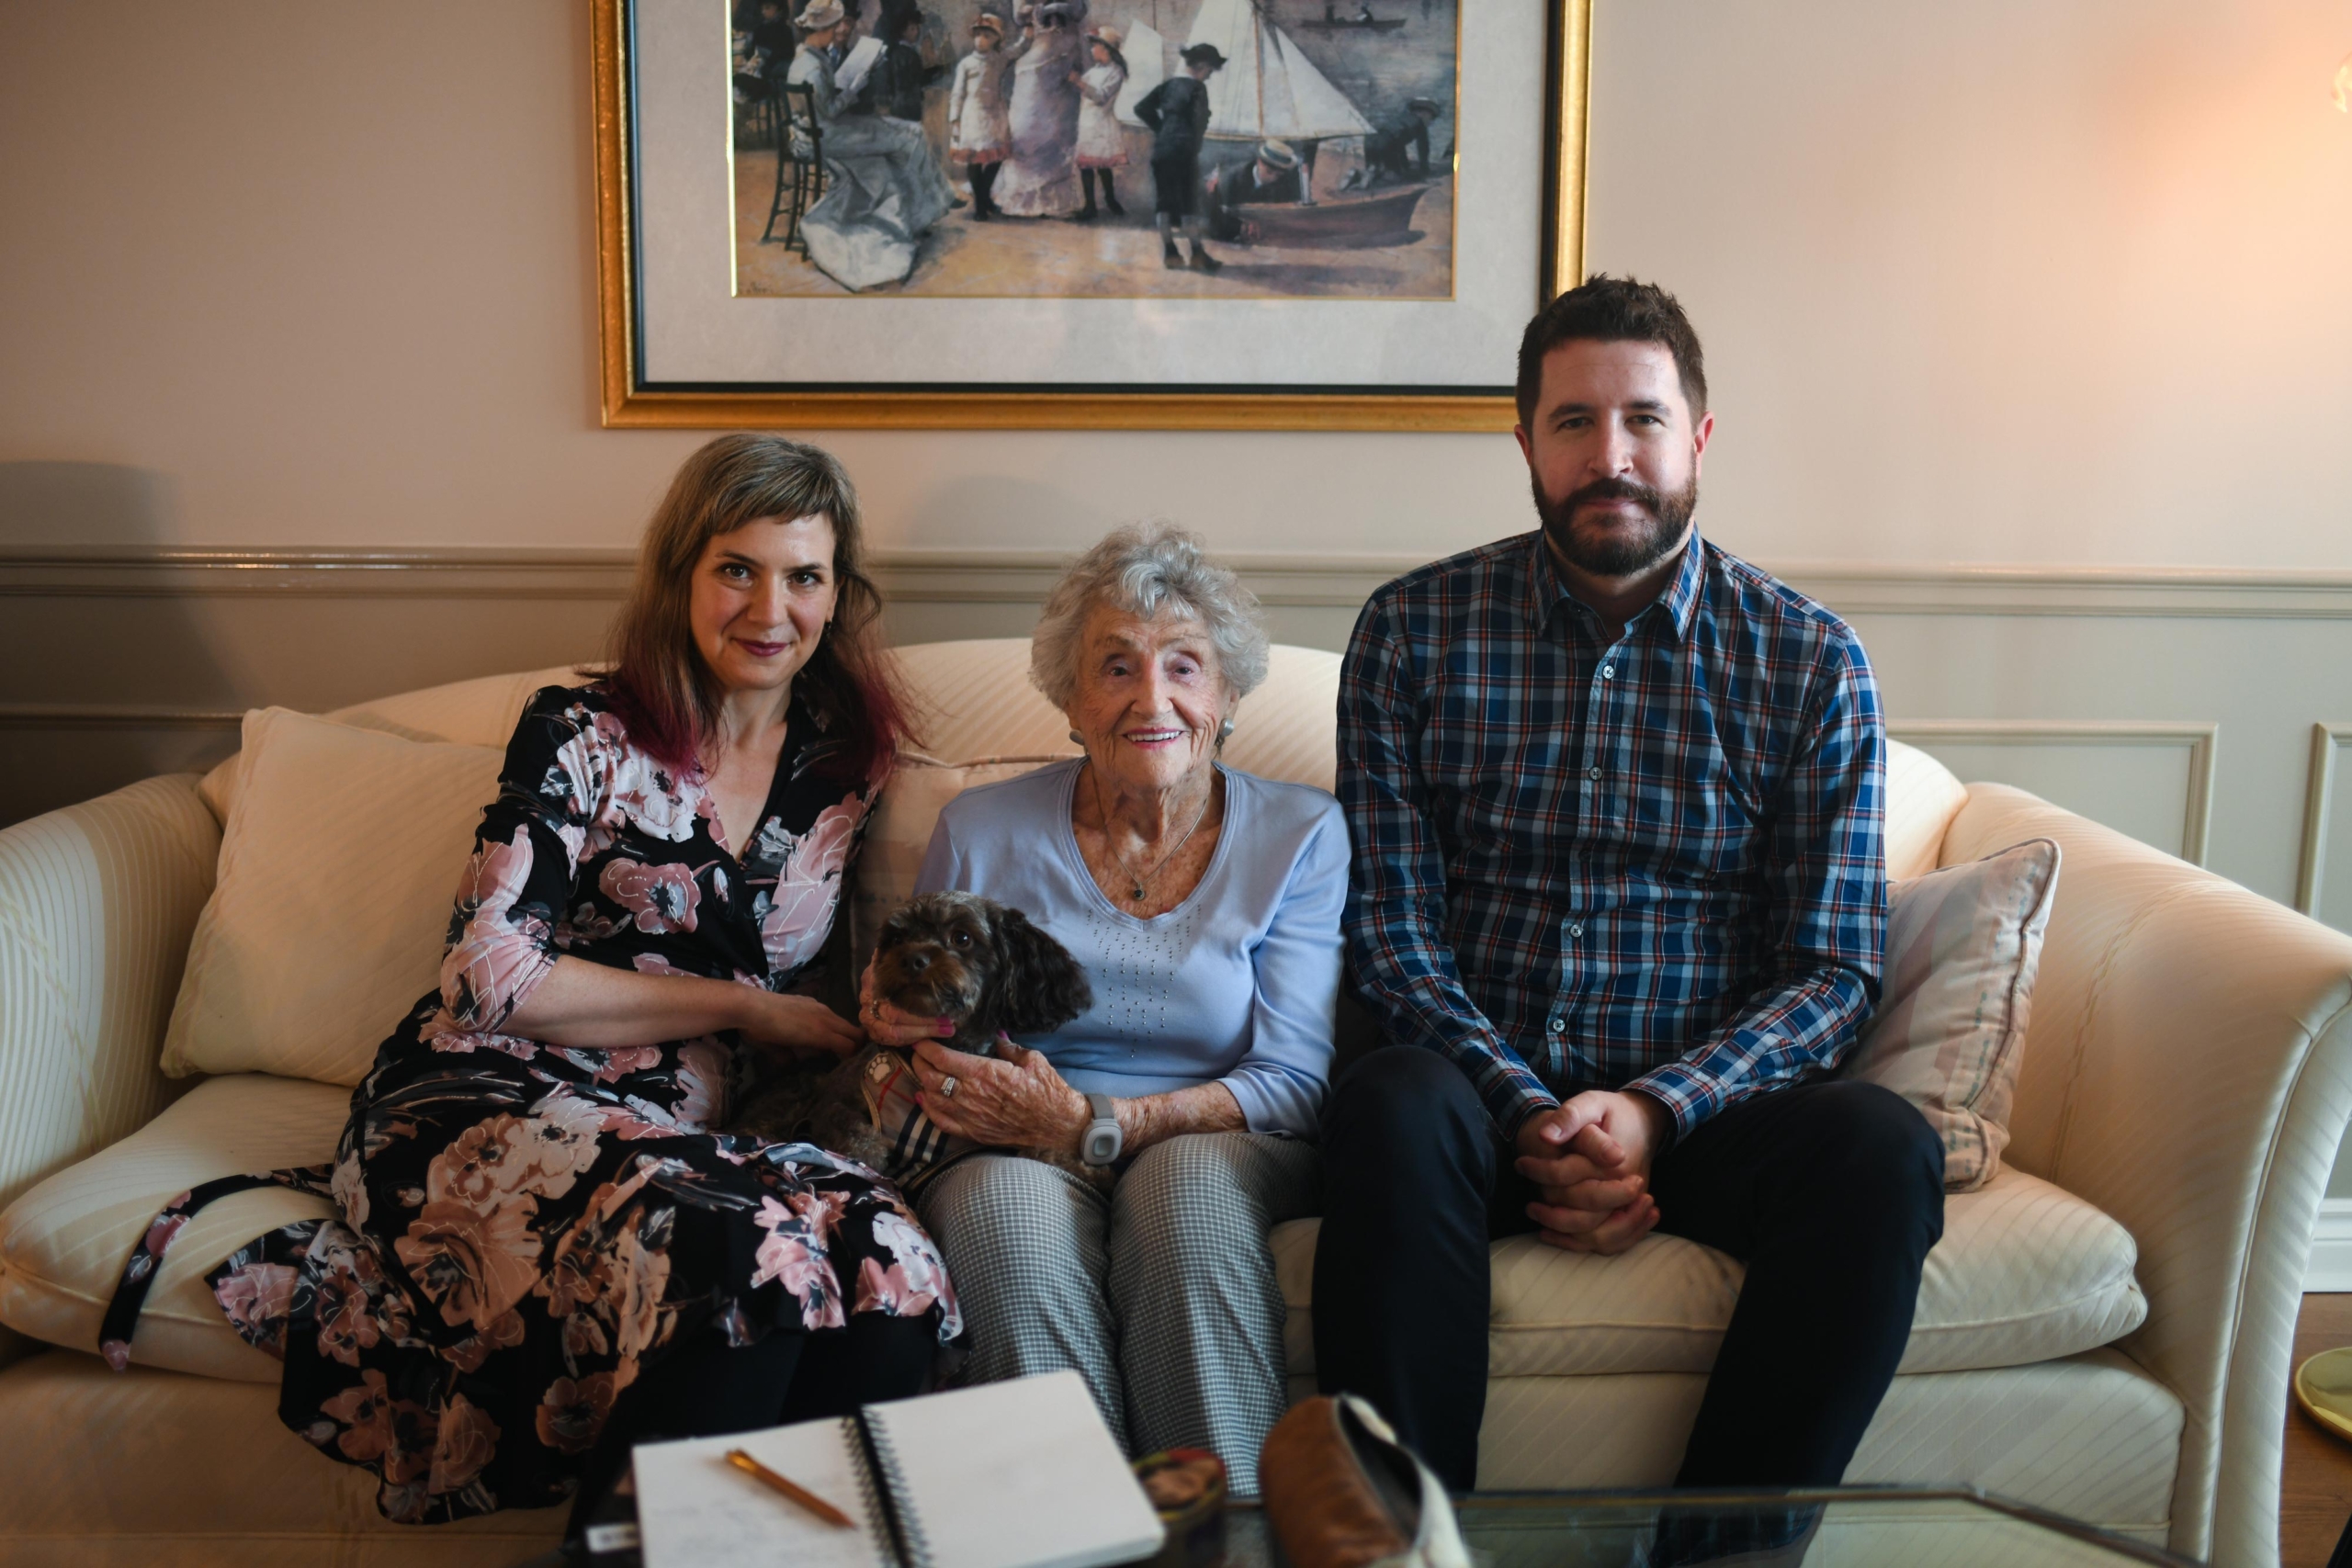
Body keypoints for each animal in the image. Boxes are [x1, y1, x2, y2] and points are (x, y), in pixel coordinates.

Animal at [729, 893, 1095, 1189]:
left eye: (961, 937)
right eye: (897, 938)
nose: (911, 958)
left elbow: (1040, 1142)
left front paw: (1081, 1164)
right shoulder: (832, 1103)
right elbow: (857, 1137)